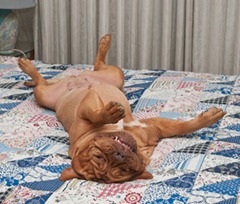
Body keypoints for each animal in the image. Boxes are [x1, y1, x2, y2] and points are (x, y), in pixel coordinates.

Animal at [17, 33, 226, 183]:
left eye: (98, 155)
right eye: (123, 170)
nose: (118, 155)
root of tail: (71, 78)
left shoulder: (87, 108)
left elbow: (184, 126)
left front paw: (210, 118)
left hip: (115, 76)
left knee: (94, 66)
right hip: (43, 95)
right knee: (40, 82)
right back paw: (28, 66)